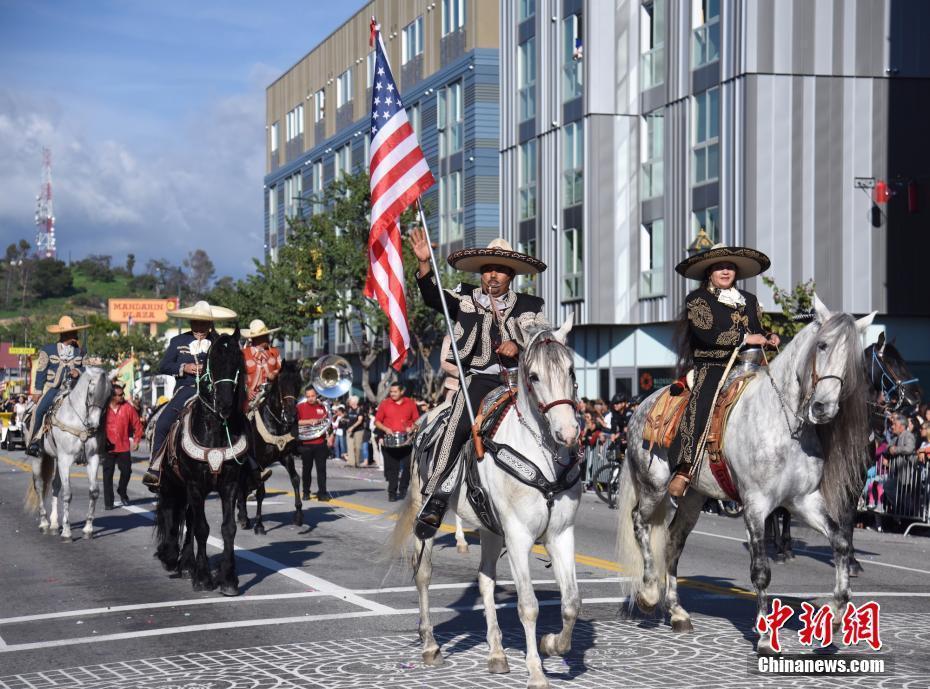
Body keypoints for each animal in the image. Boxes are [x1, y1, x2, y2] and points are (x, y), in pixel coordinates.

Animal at [24, 368, 110, 540]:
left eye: (108, 396)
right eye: (91, 393)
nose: (94, 424)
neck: (78, 422)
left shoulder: (93, 459)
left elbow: (94, 491)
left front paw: (88, 529)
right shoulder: (65, 460)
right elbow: (67, 494)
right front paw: (67, 532)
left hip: (56, 459)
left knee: (55, 485)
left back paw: (54, 524)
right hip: (39, 457)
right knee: (39, 485)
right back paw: (44, 523)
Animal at [236, 360, 300, 532]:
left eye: (297, 383)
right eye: (281, 383)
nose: (291, 415)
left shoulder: (286, 456)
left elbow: (295, 479)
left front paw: (299, 514)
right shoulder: (259, 461)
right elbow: (260, 490)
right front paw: (259, 524)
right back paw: (243, 517)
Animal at [386, 318, 580, 688]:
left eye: (571, 369)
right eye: (534, 376)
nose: (568, 432)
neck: (542, 455)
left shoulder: (560, 535)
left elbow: (571, 603)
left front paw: (552, 644)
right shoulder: (518, 537)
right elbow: (528, 605)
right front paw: (536, 672)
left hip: (491, 529)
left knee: (485, 579)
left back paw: (497, 654)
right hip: (424, 512)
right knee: (424, 574)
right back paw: (430, 645)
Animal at [616, 296, 872, 652]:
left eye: (853, 360)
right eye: (822, 345)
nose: (824, 408)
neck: (784, 424)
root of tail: (641, 406)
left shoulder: (804, 501)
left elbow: (841, 544)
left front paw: (835, 611)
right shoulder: (756, 505)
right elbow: (760, 570)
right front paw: (764, 637)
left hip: (693, 497)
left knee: (673, 541)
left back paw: (678, 612)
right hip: (654, 486)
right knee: (639, 522)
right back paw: (650, 593)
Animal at [764, 334, 916, 568]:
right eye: (891, 361)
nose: (916, 396)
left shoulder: (857, 476)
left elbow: (849, 515)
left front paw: (851, 559)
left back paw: (784, 546)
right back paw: (779, 547)